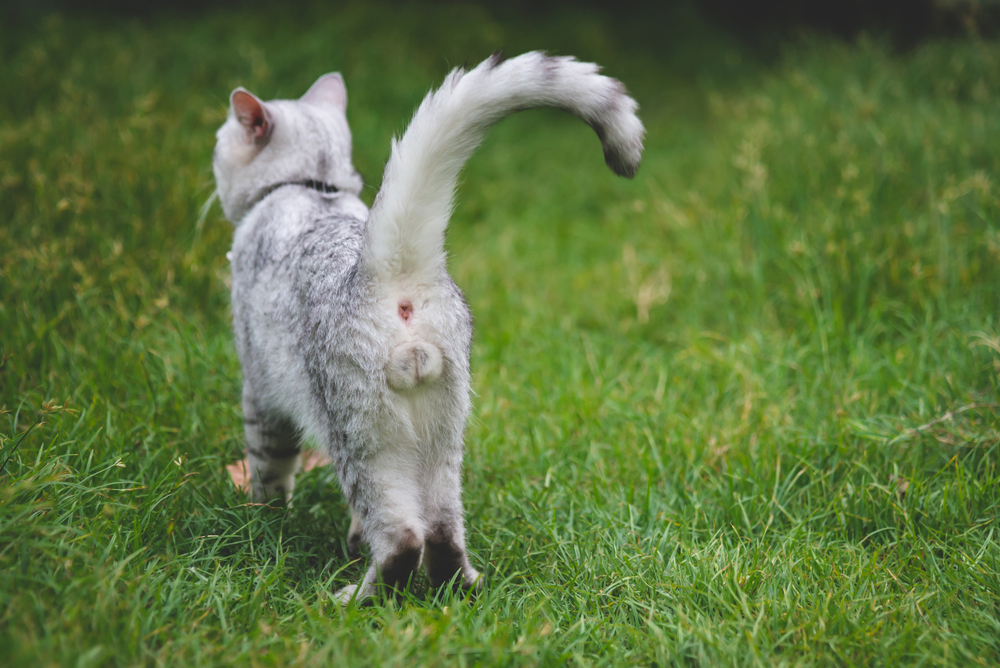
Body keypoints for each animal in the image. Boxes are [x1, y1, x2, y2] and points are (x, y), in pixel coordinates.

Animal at [214, 51, 644, 604]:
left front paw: (263, 519)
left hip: (362, 437)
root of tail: (390, 266)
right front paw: (348, 538)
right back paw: (456, 589)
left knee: (403, 538)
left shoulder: (260, 393)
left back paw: (358, 599)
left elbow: (269, 468)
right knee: (441, 531)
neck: (315, 191)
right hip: (443, 433)